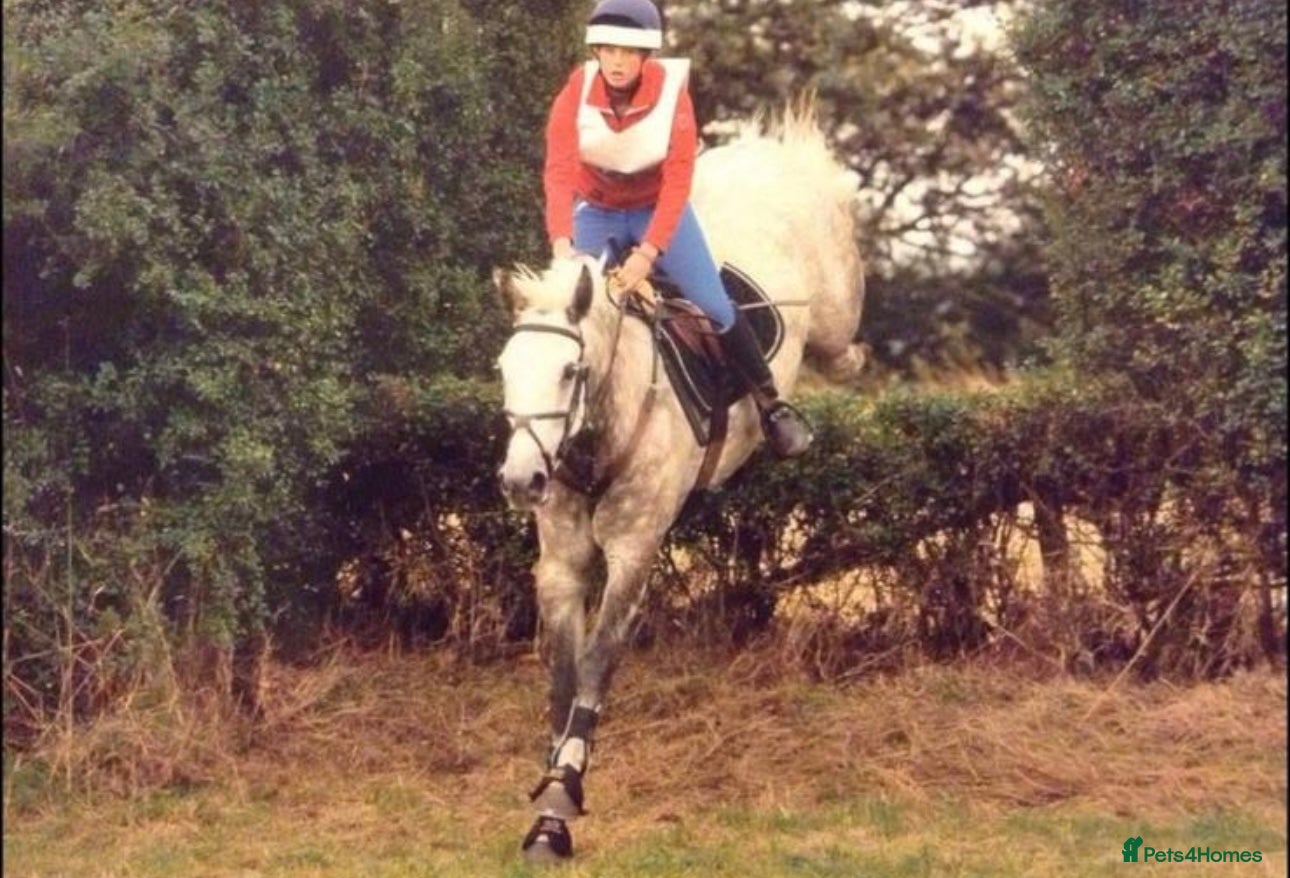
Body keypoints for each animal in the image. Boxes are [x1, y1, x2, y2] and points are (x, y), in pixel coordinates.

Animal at [493, 102, 865, 863]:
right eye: (505, 371)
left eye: (569, 372)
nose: (521, 479)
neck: (597, 431)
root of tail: (767, 156)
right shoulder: (562, 562)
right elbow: (562, 675)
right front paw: (547, 806)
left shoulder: (634, 551)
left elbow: (597, 664)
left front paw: (562, 793)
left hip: (833, 308)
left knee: (840, 345)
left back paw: (806, 405)